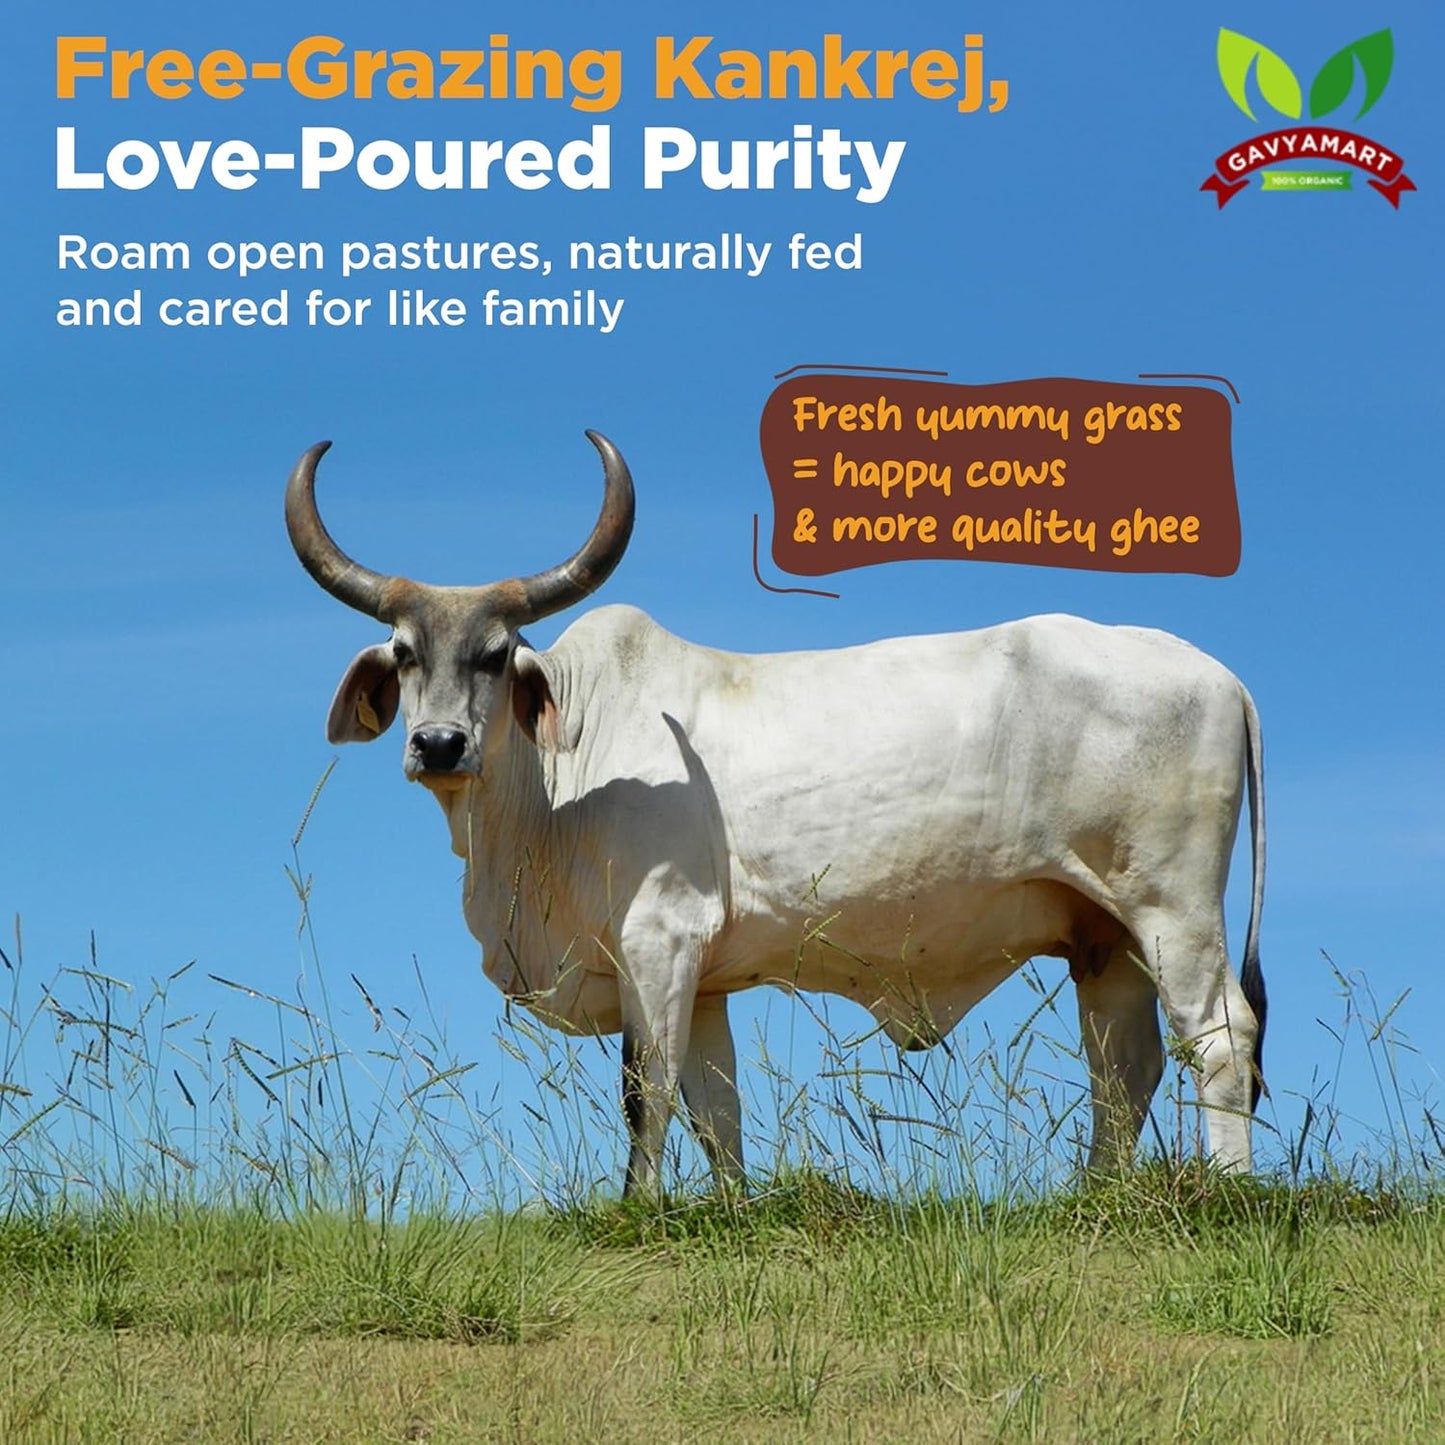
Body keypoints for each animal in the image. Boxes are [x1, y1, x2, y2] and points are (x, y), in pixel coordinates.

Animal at [285, 432, 1267, 1196]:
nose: (439, 744)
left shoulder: (658, 939)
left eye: (494, 654)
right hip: (1103, 932)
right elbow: (714, 1107)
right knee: (1125, 1064)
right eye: (404, 653)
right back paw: (1094, 1194)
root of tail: (1218, 671)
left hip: (1173, 908)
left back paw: (1226, 1191)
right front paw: (729, 1207)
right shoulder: (705, 977)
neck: (546, 806)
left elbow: (648, 1092)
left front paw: (640, 1208)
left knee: (1219, 1038)